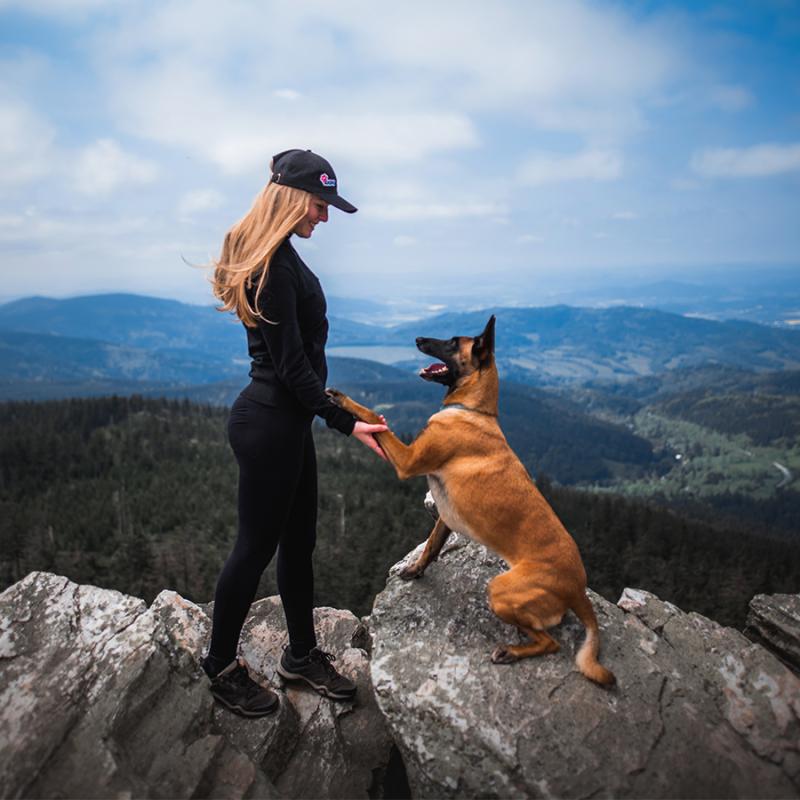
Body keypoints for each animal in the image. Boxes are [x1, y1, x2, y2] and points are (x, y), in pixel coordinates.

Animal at [328, 314, 616, 688]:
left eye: (452, 343)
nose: (418, 337)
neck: (472, 409)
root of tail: (577, 590)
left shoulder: (407, 460)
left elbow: (376, 419)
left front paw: (343, 399)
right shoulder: (444, 515)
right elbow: (431, 546)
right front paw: (415, 570)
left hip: (501, 591)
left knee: (551, 643)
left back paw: (511, 651)